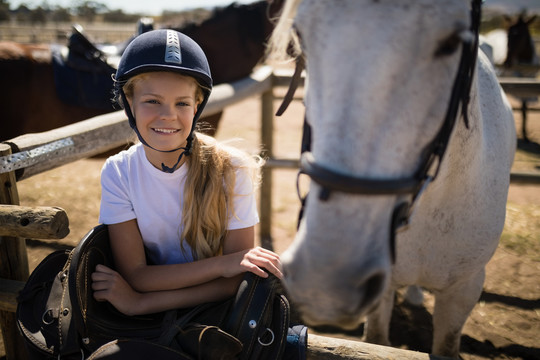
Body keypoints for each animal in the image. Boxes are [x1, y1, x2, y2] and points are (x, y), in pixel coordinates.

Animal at [268, 0, 516, 358]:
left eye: (453, 43)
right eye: (299, 36)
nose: (324, 281)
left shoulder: (465, 289)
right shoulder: (380, 296)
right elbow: (377, 340)